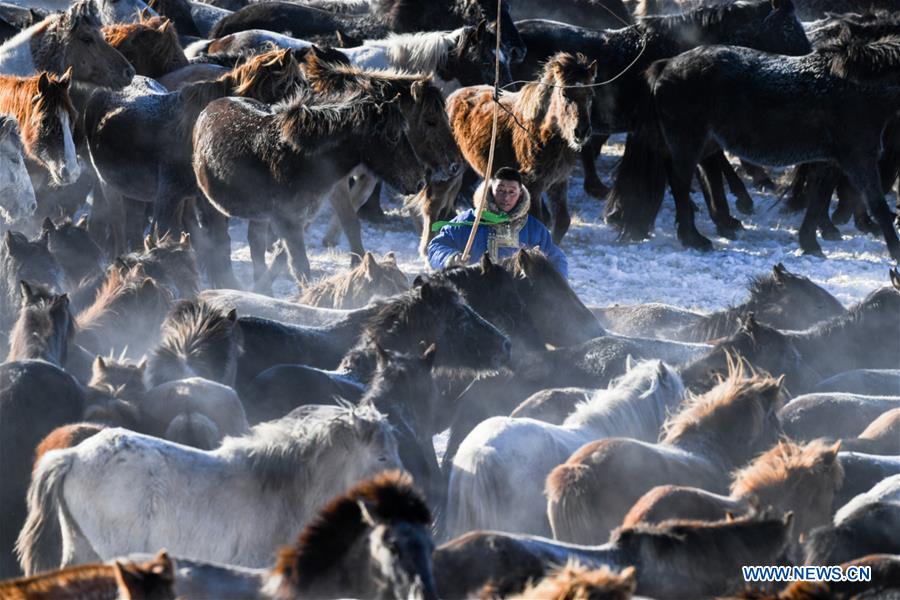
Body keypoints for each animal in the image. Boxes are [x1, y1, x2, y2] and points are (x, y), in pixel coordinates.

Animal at [193, 87, 426, 286]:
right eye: (392, 136)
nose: (419, 181)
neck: (300, 157)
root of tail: (209, 108)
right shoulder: (288, 222)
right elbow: (300, 267)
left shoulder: (301, 219)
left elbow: (282, 261)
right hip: (211, 205)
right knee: (219, 241)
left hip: (259, 215)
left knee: (255, 244)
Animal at [414, 52, 596, 250]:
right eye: (564, 93)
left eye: (590, 94)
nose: (581, 132)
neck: (542, 132)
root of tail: (452, 97)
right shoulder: (533, 185)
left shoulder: (558, 182)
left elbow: (562, 222)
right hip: (450, 167)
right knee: (433, 205)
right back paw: (426, 249)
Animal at [647, 29, 900, 259]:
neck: (859, 90)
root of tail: (667, 65)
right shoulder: (859, 159)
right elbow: (877, 204)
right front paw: (894, 251)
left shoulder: (829, 162)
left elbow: (818, 200)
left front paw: (810, 244)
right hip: (688, 141)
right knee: (680, 182)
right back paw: (694, 238)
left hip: (705, 142)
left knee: (705, 174)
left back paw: (722, 225)